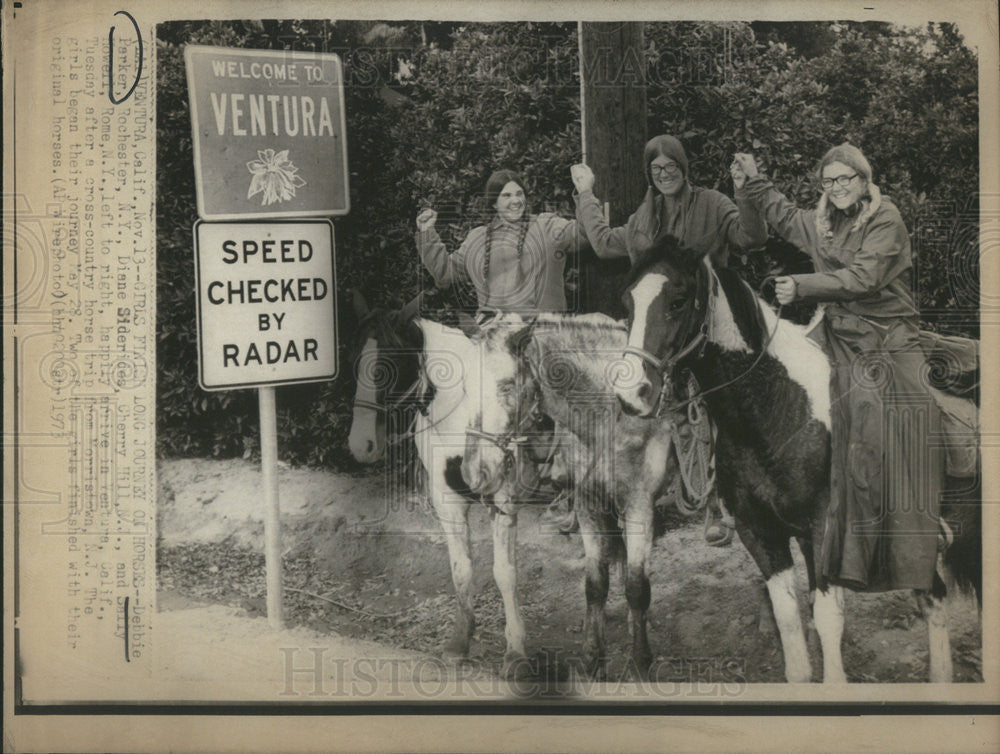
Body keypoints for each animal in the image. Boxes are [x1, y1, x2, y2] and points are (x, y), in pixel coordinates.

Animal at [348, 290, 560, 672]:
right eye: (353, 359)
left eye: (387, 366)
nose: (362, 445)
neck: (461, 413)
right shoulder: (447, 500)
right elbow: (461, 569)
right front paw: (460, 641)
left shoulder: (502, 500)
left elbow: (505, 572)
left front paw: (515, 649)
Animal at [458, 312, 680, 676]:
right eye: (465, 388)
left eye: (507, 385)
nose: (475, 472)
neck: (611, 412)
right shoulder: (589, 503)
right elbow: (595, 584)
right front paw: (592, 658)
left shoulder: (639, 504)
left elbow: (637, 587)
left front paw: (640, 660)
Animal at [612, 239, 980, 680]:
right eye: (627, 303)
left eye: (678, 301)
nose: (631, 394)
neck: (778, 406)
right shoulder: (760, 532)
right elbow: (790, 624)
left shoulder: (826, 532)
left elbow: (827, 618)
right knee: (934, 596)